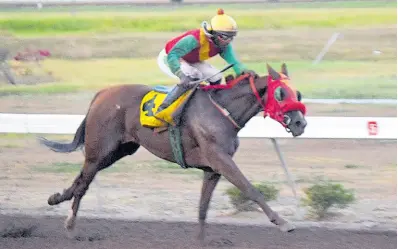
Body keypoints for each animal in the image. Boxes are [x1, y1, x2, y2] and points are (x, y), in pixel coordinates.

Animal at [38, 62, 308, 243]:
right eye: (280, 93)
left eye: (298, 93)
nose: (300, 123)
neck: (223, 111)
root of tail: (102, 93)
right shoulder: (221, 160)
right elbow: (251, 190)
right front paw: (284, 223)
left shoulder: (213, 168)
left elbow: (203, 206)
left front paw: (199, 241)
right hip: (100, 151)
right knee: (83, 185)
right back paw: (70, 227)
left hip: (119, 151)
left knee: (80, 179)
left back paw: (55, 198)